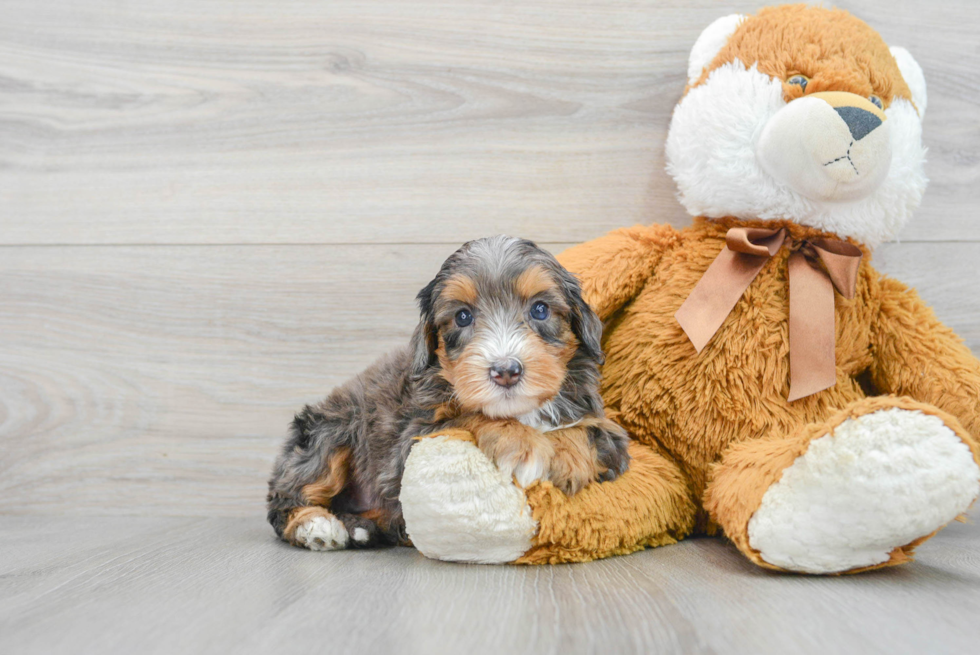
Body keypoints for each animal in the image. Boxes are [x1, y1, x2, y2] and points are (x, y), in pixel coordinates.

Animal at [266, 236, 628, 552]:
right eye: (463, 316)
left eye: (540, 310)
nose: (505, 370)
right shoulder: (410, 441)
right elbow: (470, 414)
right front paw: (522, 444)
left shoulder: (608, 429)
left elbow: (591, 430)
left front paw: (569, 458)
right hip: (330, 432)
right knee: (285, 498)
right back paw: (317, 526)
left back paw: (360, 529)